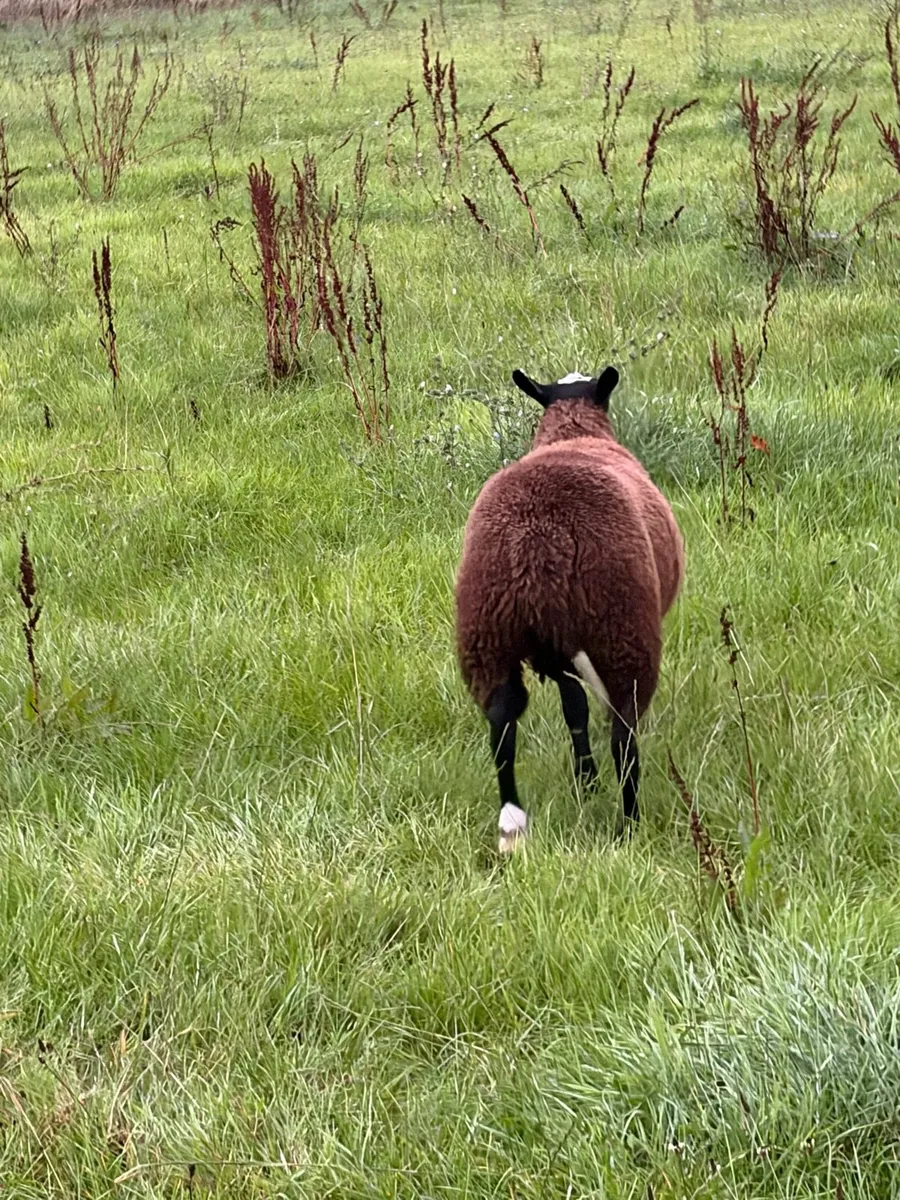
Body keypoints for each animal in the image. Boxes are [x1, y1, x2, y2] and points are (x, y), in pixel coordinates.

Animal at [455, 366, 684, 852]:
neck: (573, 433)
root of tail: (538, 545)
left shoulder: (556, 653)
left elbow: (573, 709)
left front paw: (585, 780)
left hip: (485, 634)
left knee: (501, 725)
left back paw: (512, 823)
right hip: (622, 631)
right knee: (623, 737)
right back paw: (630, 824)